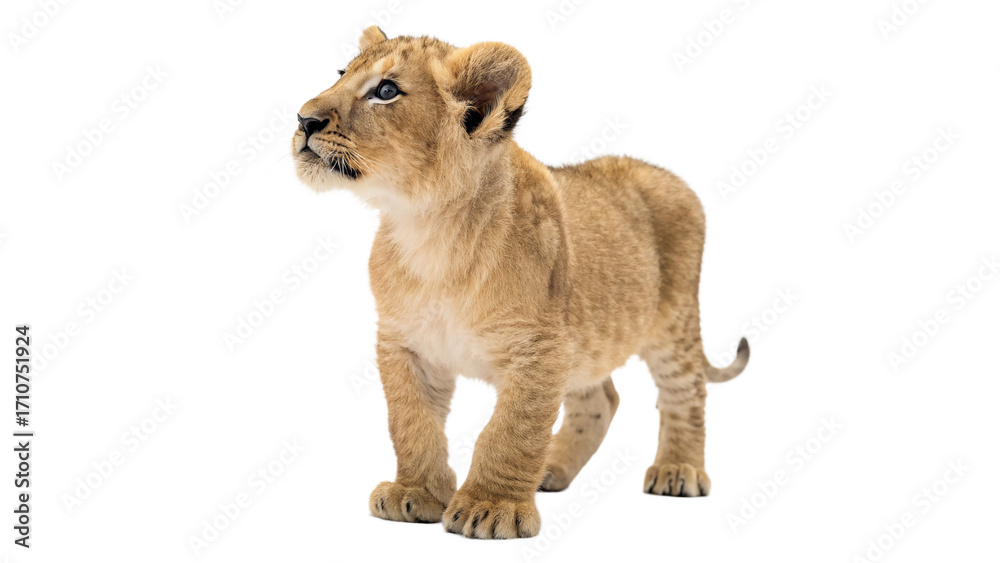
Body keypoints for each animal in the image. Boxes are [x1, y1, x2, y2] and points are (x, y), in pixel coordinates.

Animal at [292, 26, 749, 539]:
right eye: (341, 73)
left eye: (386, 91)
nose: (303, 118)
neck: (428, 228)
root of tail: (667, 174)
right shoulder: (404, 343)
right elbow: (411, 422)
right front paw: (416, 493)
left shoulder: (540, 347)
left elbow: (511, 430)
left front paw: (491, 507)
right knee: (601, 399)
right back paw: (550, 469)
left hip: (673, 324)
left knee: (686, 392)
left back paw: (677, 470)